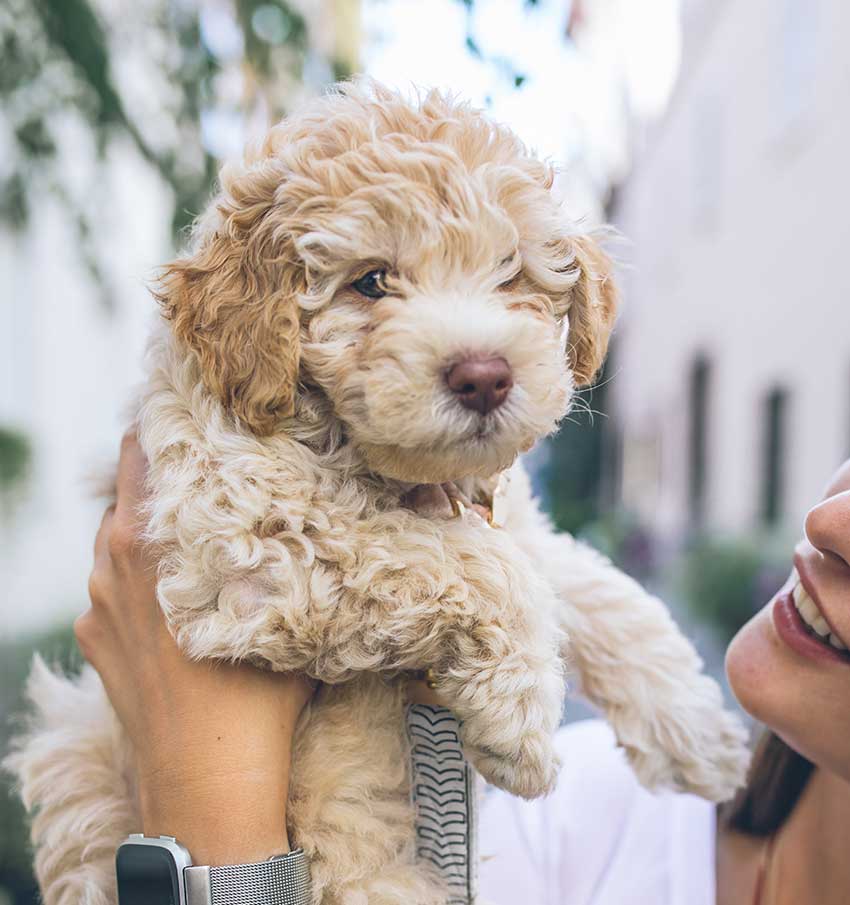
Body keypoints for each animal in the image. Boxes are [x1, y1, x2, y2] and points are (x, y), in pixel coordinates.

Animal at [6, 83, 748, 904]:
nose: (484, 376)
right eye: (370, 281)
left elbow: (585, 585)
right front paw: (521, 724)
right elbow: (470, 563)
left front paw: (697, 728)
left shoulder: (504, 517)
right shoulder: (245, 531)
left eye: (510, 272)